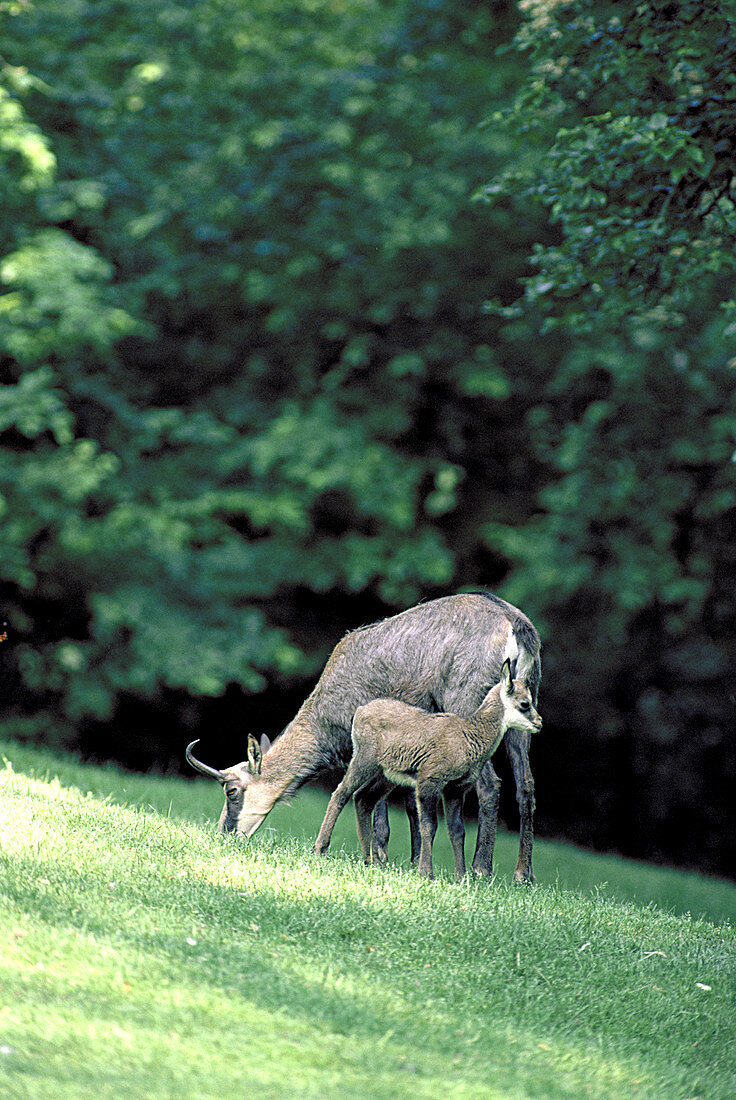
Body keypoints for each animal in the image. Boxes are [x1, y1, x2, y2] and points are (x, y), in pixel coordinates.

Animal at [314, 655, 539, 880]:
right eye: (524, 703)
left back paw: (372, 860)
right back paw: (321, 848)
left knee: (363, 798)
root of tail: (361, 711)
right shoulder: (429, 781)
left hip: (386, 775)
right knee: (341, 793)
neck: (468, 736)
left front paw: (461, 876)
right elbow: (429, 826)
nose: (539, 722)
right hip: (364, 760)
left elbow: (457, 831)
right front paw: (426, 872)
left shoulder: (455, 790)